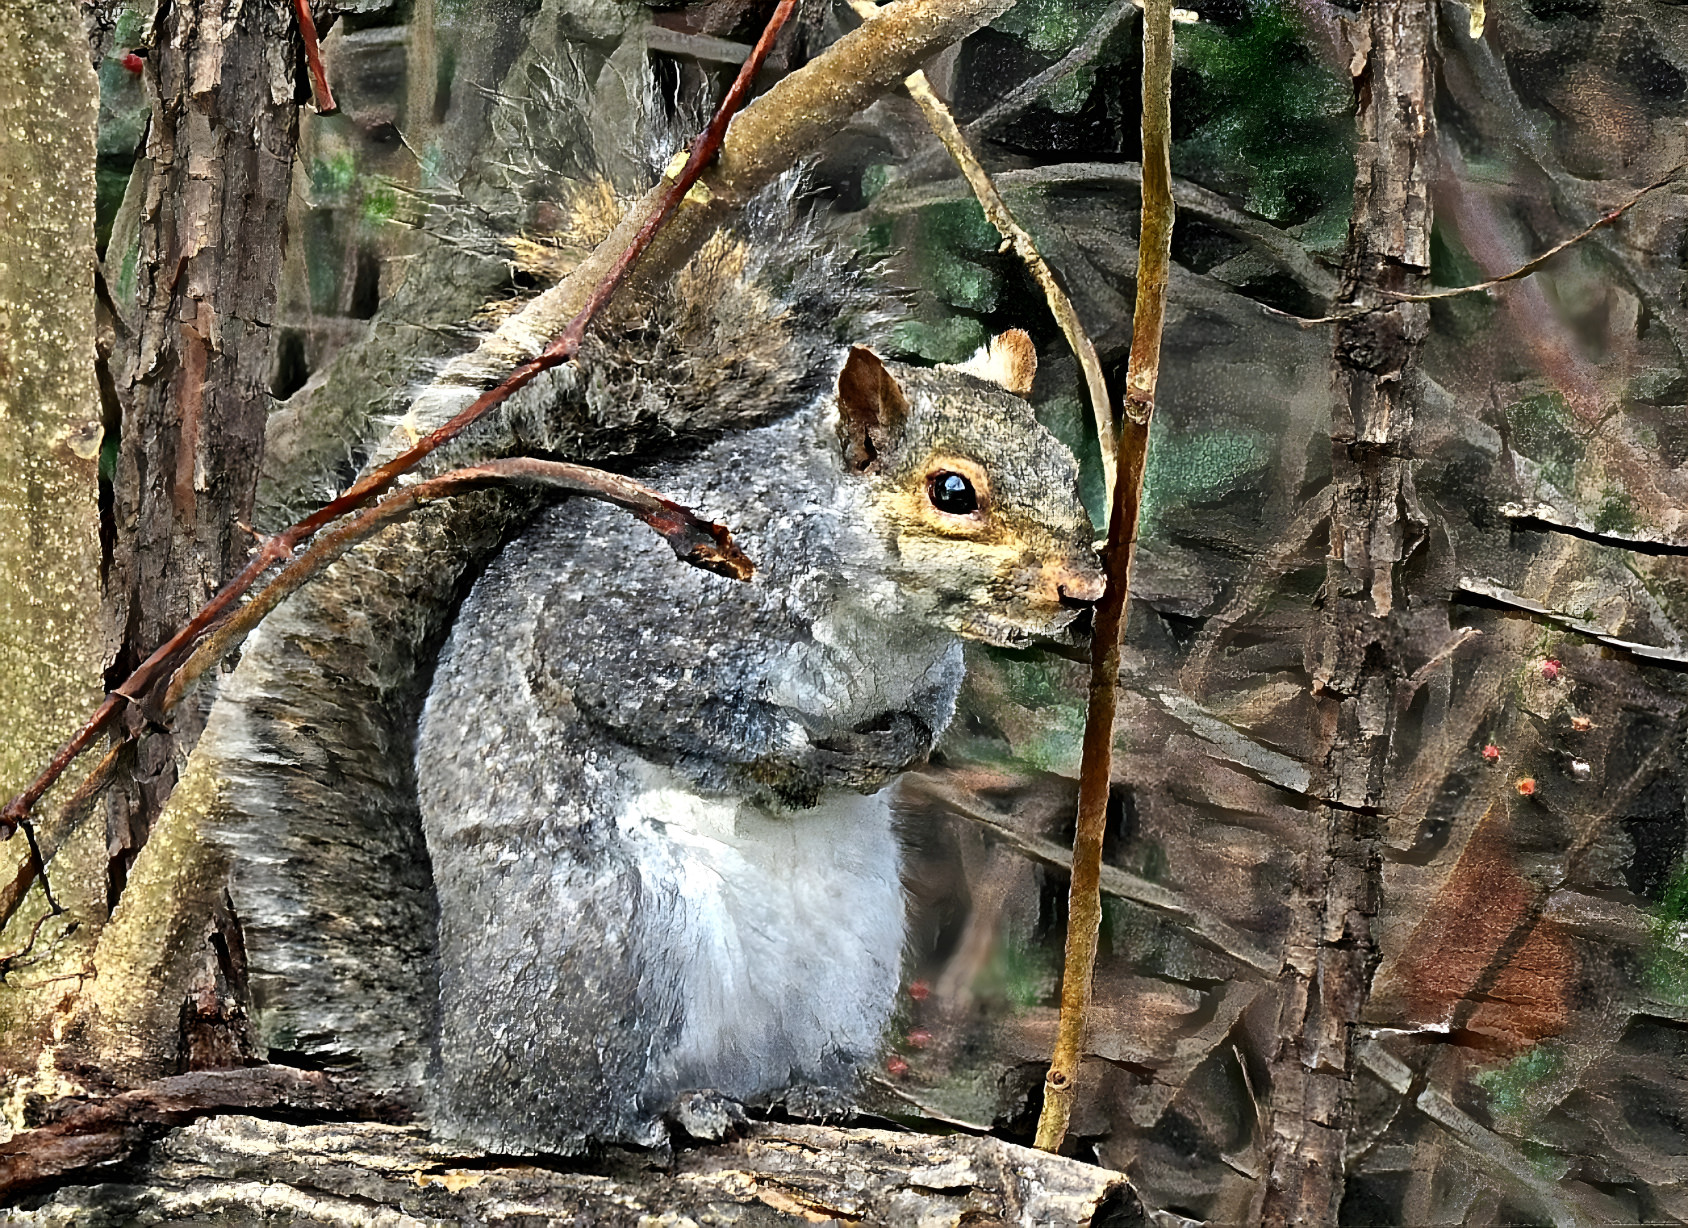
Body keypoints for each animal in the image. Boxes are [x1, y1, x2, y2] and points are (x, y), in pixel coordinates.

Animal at [184, 50, 1100, 1155]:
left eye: (1064, 466)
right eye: (952, 492)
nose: (1085, 589)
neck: (883, 623)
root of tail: (452, 1067)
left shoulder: (928, 672)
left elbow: (925, 723)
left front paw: (883, 753)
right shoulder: (639, 623)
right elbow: (652, 700)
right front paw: (794, 758)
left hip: (848, 968)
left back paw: (807, 1093)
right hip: (613, 938)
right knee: (561, 1113)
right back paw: (651, 1113)